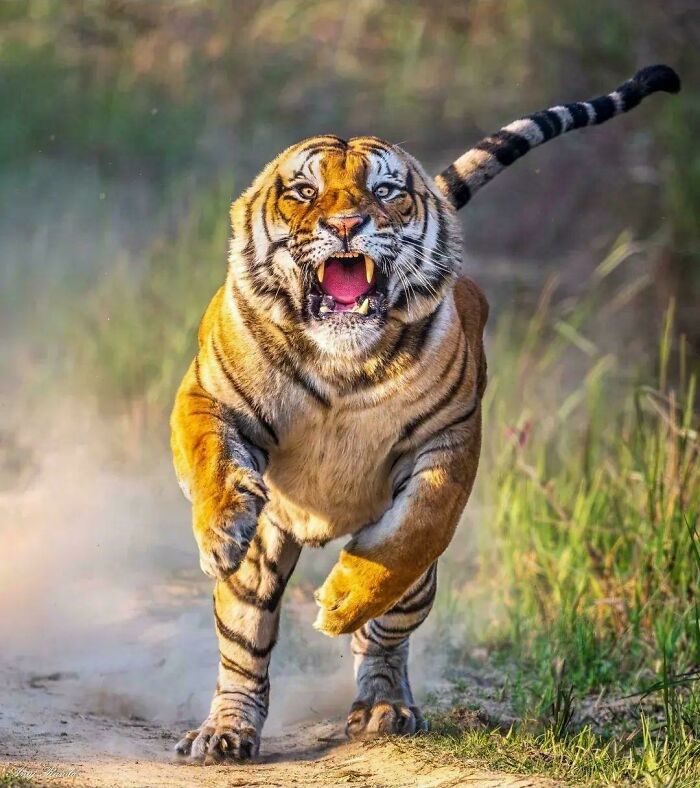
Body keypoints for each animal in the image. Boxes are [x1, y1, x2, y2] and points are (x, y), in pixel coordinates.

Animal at [170, 65, 679, 762]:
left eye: (385, 192)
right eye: (304, 191)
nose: (347, 224)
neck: (342, 362)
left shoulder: (449, 440)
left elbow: (414, 531)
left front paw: (339, 601)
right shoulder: (208, 394)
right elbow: (212, 462)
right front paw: (220, 534)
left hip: (416, 587)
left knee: (385, 634)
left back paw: (383, 706)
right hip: (263, 563)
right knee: (245, 647)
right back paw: (226, 732)